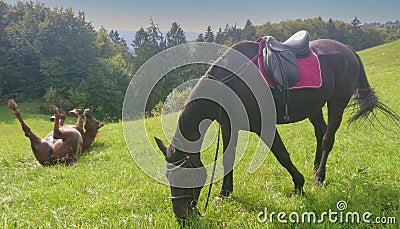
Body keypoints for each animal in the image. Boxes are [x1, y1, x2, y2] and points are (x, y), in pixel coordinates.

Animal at [154, 36, 400, 221]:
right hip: (314, 107)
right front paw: (224, 194)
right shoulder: (228, 125)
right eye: (168, 176)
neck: (231, 83)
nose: (182, 217)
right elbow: (228, 158)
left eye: (184, 176)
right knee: (320, 133)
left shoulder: (263, 125)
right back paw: (315, 169)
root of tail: (349, 50)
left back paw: (318, 178)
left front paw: (298, 185)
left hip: (337, 103)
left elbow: (281, 154)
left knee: (328, 139)